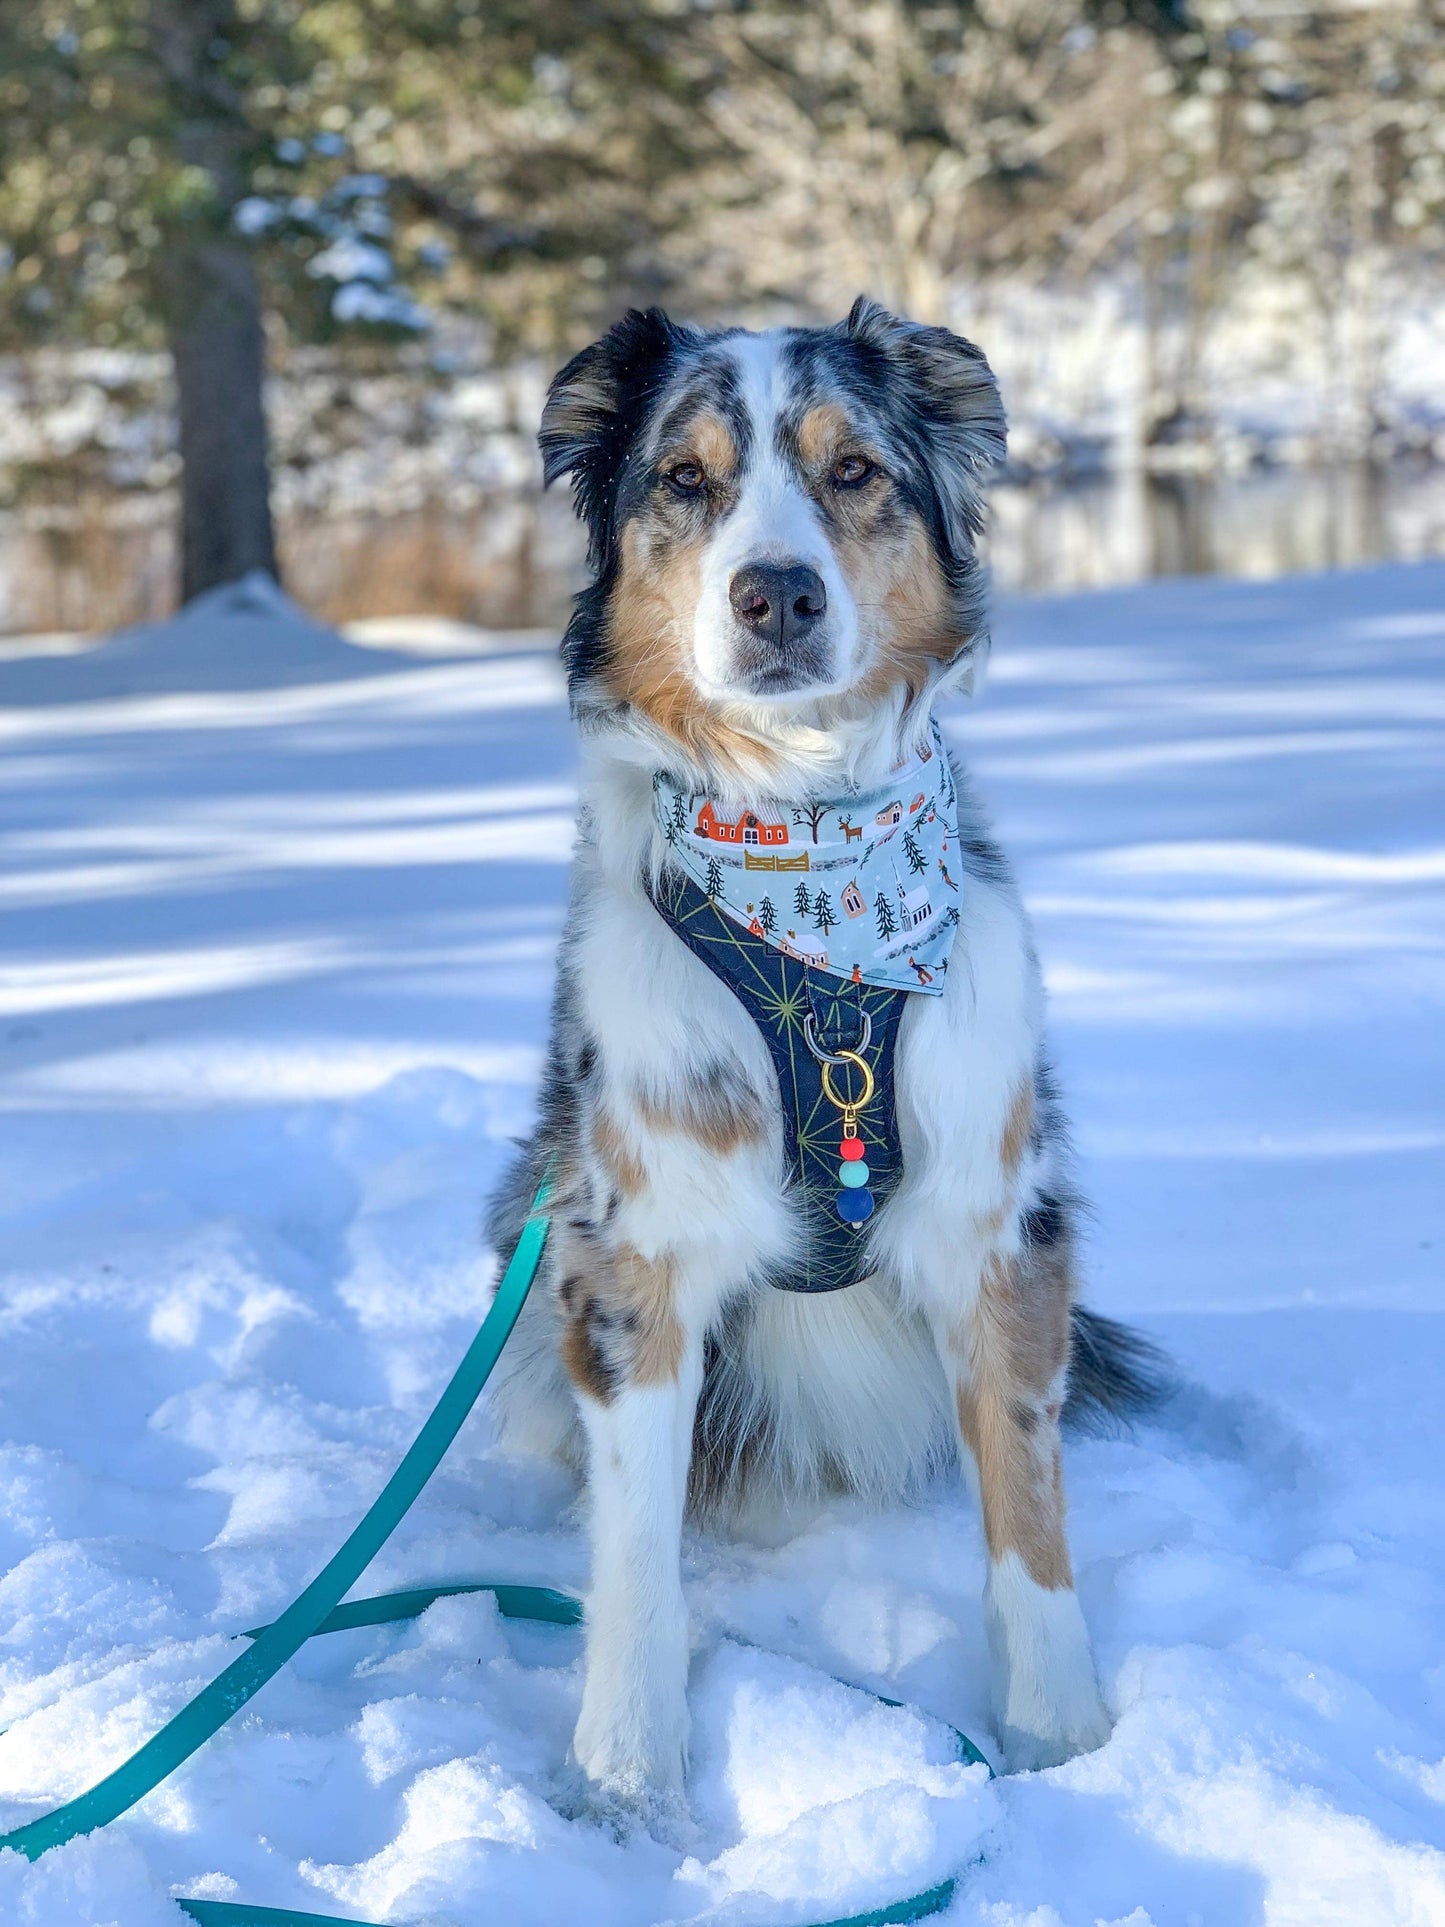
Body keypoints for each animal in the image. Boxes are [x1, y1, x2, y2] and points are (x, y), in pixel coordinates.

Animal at [489, 292, 1163, 1826]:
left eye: (851, 470)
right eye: (685, 480)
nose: (776, 595)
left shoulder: (996, 1214)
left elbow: (1026, 1506)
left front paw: (1061, 1740)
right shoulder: (628, 1239)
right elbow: (636, 1550)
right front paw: (626, 1783)